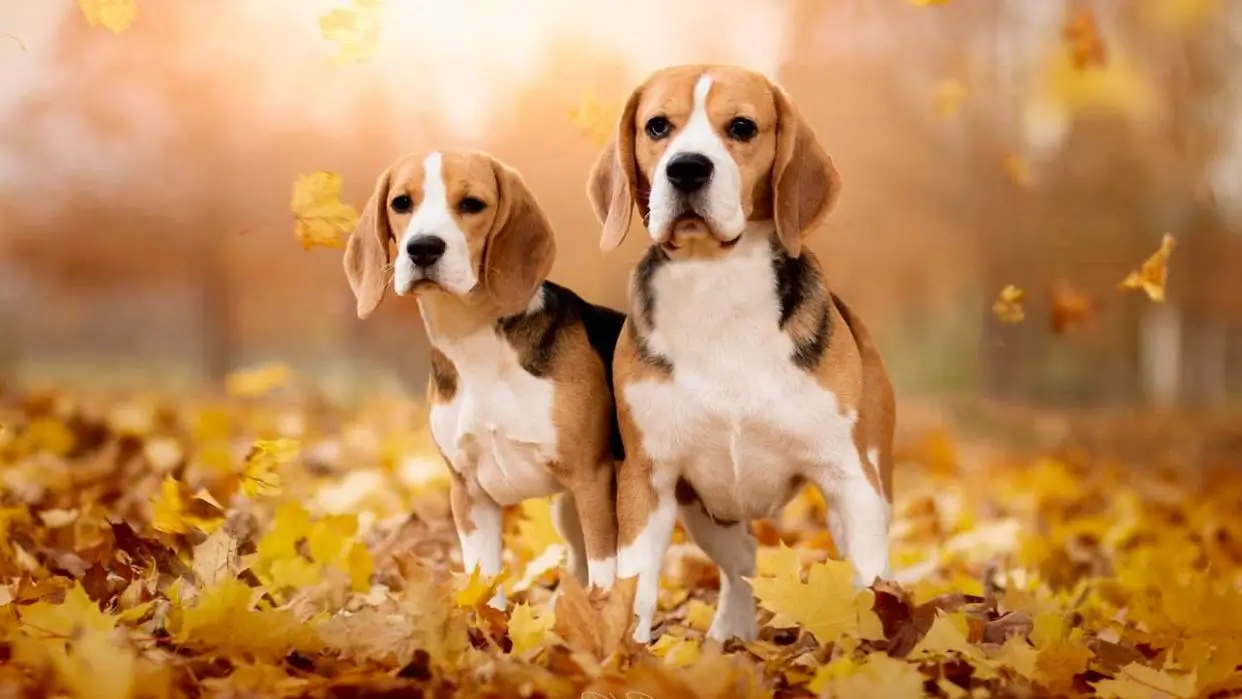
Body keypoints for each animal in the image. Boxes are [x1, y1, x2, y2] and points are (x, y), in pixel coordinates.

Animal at [345, 148, 621, 608]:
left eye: (472, 204)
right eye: (401, 202)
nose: (423, 248)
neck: (473, 342)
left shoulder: (592, 481)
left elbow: (607, 577)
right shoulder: (469, 493)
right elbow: (485, 579)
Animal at [586, 68, 899, 640]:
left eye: (742, 127)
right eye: (657, 126)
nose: (686, 169)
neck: (717, 282)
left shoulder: (848, 479)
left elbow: (869, 588)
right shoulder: (649, 479)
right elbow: (635, 587)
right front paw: (627, 654)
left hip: (873, 477)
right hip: (705, 512)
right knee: (742, 563)